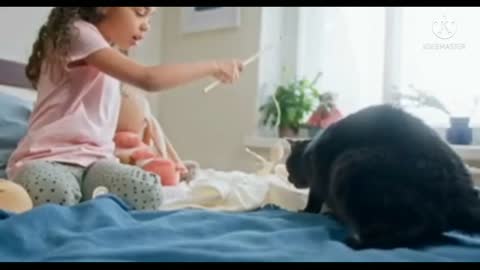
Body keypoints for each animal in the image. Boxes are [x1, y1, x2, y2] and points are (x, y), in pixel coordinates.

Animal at [284, 104, 480, 250]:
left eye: (288, 168)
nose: (288, 179)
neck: (308, 152)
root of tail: (462, 192)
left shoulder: (317, 184)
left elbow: (313, 202)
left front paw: (307, 211)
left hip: (349, 165)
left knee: (414, 226)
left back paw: (356, 242)